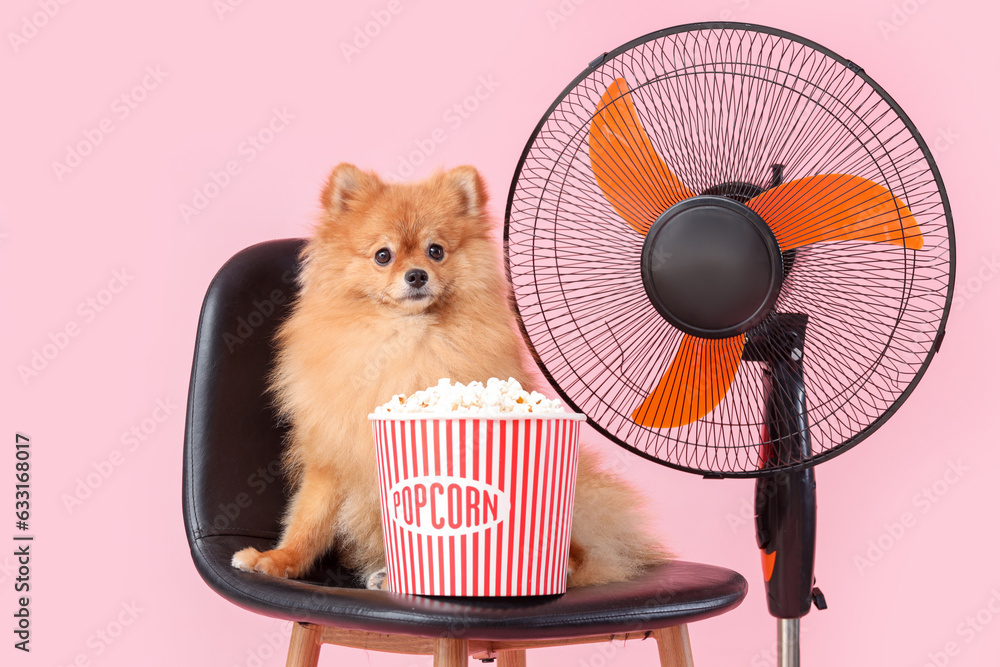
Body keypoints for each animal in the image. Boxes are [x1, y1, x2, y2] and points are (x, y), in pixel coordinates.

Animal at [233, 164, 668, 588]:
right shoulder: (332, 458)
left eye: (436, 251)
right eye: (383, 255)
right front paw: (278, 560)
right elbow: (308, 520)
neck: (406, 340)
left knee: (581, 555)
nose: (416, 275)